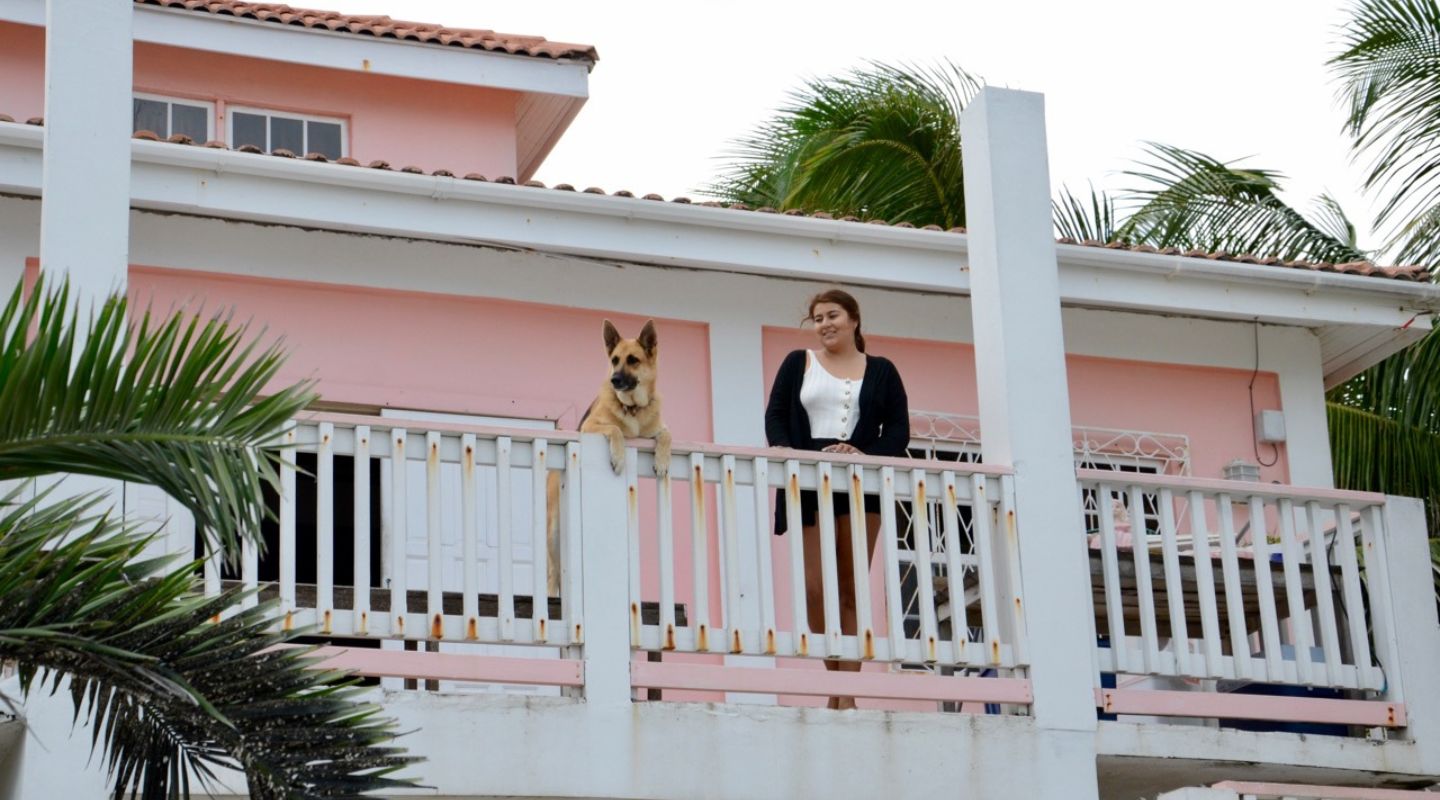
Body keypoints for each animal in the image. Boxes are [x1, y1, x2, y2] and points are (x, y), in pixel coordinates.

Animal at [547, 319, 671, 592]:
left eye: (633, 360)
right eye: (614, 360)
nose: (614, 380)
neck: (633, 408)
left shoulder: (657, 429)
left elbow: (666, 435)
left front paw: (662, 461)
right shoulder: (589, 427)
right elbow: (615, 429)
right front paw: (618, 457)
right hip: (553, 531)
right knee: (552, 573)